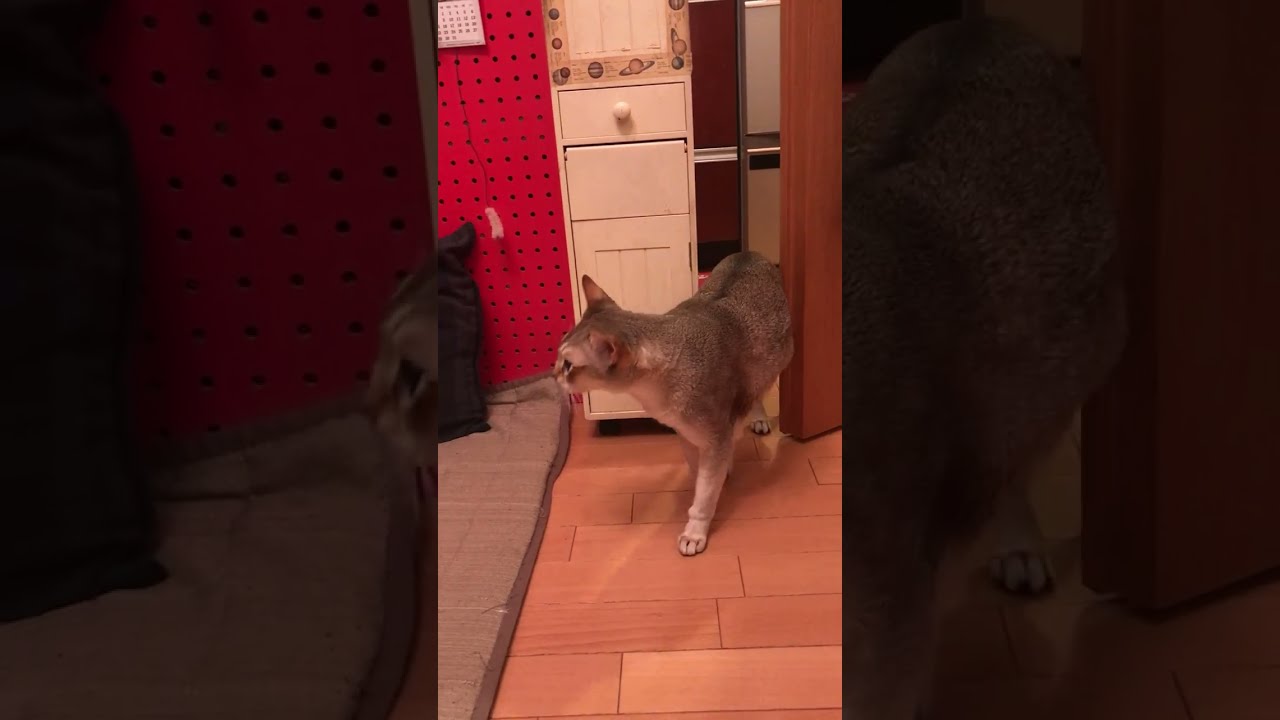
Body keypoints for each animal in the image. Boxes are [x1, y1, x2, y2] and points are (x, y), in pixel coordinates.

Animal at [554, 251, 794, 555]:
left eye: (569, 365)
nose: (553, 373)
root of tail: (747, 253)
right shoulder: (686, 432)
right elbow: (700, 472)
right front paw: (714, 477)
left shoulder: (715, 433)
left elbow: (705, 492)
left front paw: (695, 531)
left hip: (777, 358)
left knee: (759, 391)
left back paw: (758, 418)